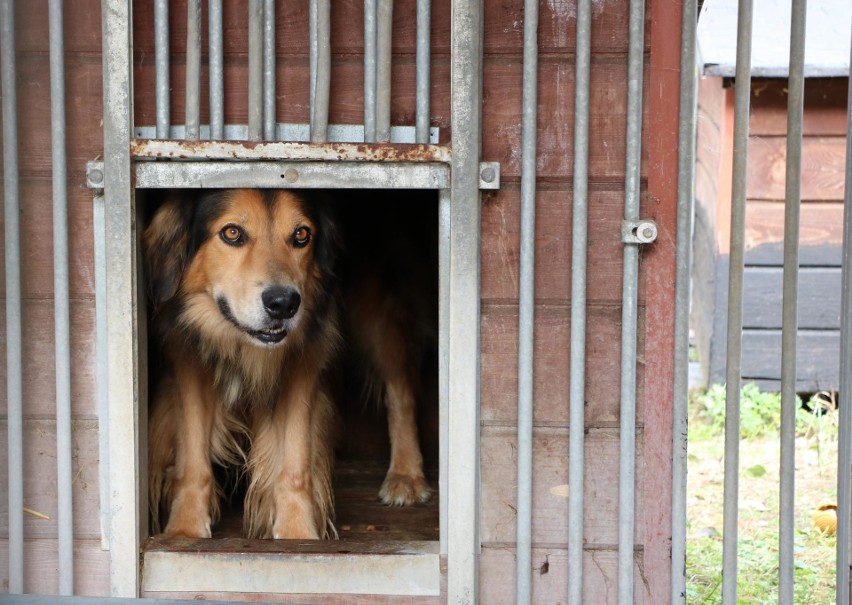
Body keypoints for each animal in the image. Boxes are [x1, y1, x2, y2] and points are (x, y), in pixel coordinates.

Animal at [145, 188, 432, 536]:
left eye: (301, 235)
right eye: (232, 233)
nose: (284, 303)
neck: (242, 343)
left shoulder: (303, 363)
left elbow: (294, 461)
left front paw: (298, 533)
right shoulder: (188, 360)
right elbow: (193, 458)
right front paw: (183, 531)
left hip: (377, 313)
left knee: (400, 390)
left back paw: (406, 474)